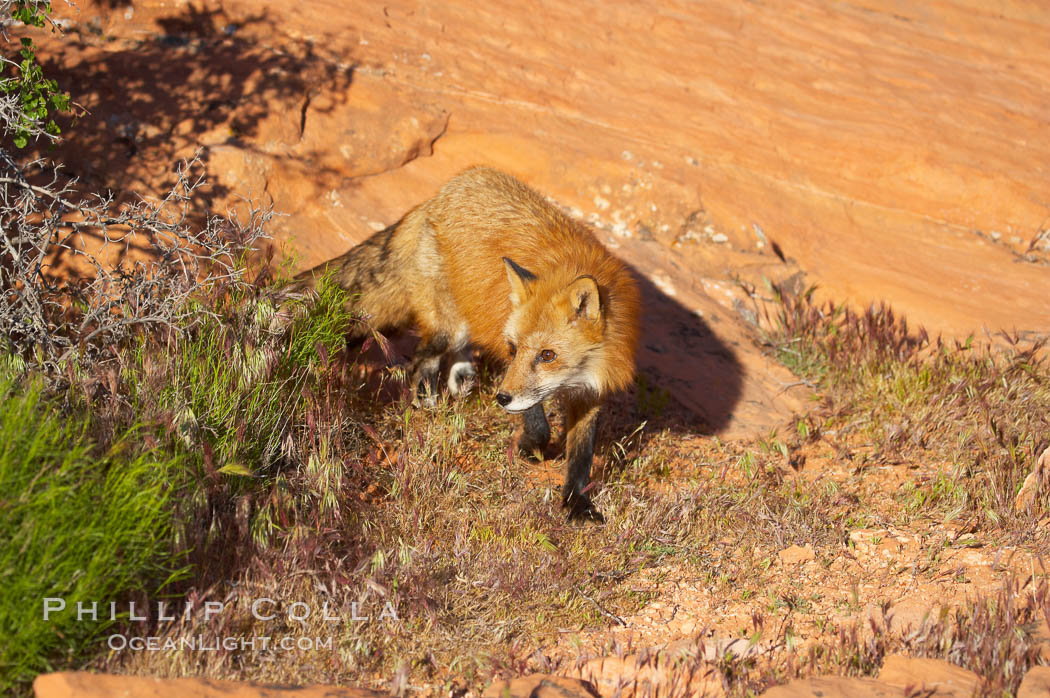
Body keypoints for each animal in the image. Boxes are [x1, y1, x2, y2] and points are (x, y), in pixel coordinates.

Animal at [296, 167, 638, 516]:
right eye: (513, 349)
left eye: (547, 355)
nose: (501, 399)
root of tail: (439, 195)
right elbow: (538, 423)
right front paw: (531, 448)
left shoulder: (592, 391)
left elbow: (581, 455)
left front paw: (576, 503)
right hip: (448, 329)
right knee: (422, 360)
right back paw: (426, 406)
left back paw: (460, 380)